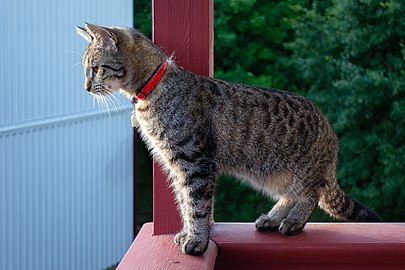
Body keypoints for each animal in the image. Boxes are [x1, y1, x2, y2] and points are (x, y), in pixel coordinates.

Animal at [77, 22, 380, 255]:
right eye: (85, 68)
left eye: (96, 68)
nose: (87, 87)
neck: (151, 89)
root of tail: (330, 133)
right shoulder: (176, 165)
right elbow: (184, 202)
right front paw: (187, 232)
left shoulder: (195, 162)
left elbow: (197, 205)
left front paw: (197, 240)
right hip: (273, 175)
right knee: (290, 196)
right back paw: (273, 218)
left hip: (301, 172)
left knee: (309, 195)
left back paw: (293, 221)